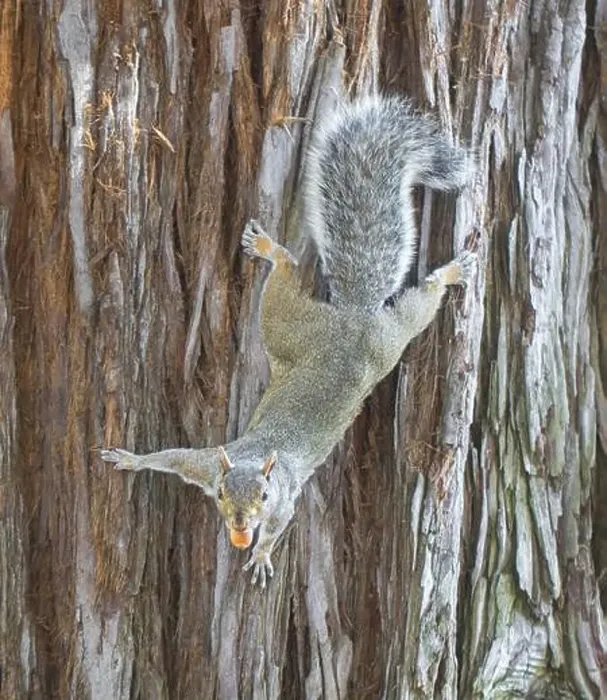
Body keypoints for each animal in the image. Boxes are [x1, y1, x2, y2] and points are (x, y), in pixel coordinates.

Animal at [101, 95, 476, 587]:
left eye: (263, 495)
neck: (256, 461)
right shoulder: (205, 465)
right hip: (332, 332)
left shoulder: (283, 501)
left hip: (358, 334)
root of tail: (352, 319)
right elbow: (171, 457)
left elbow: (279, 526)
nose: (241, 524)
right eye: (221, 495)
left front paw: (261, 554)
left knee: (401, 294)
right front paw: (131, 459)